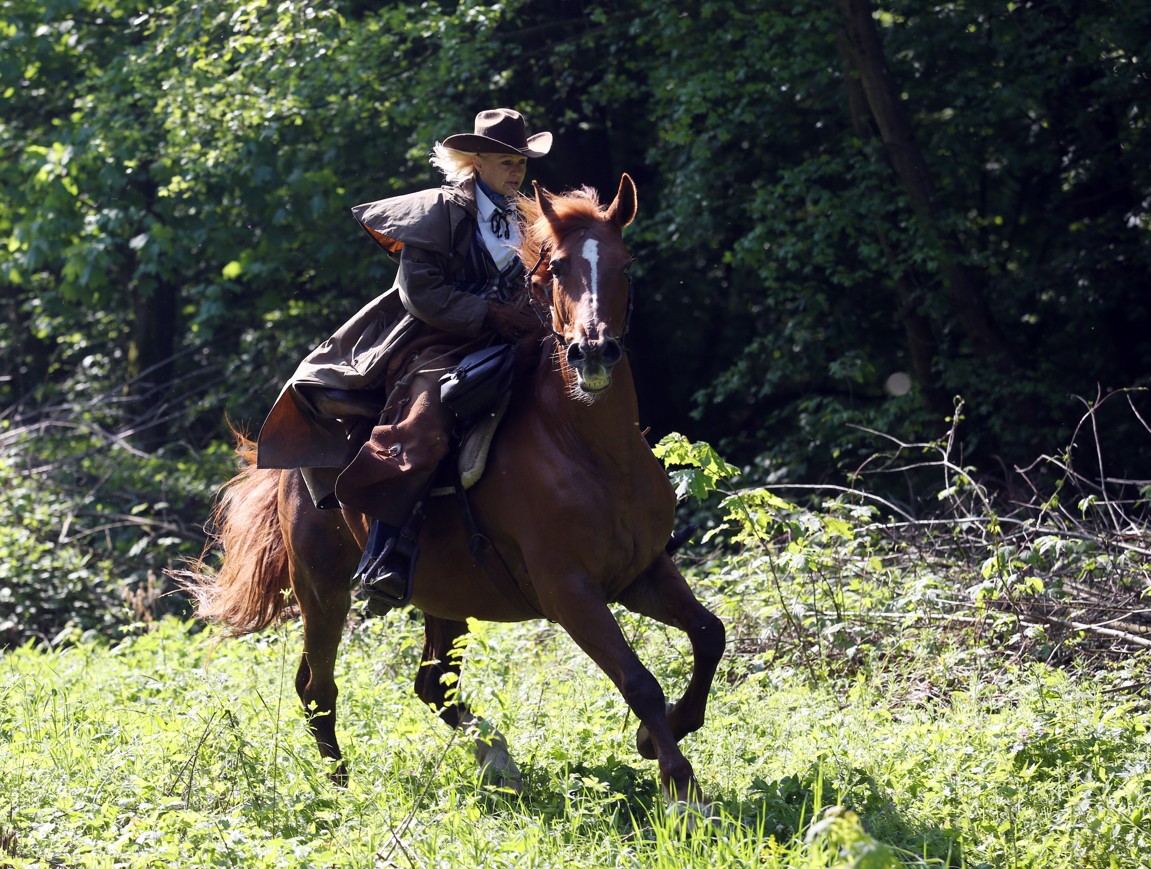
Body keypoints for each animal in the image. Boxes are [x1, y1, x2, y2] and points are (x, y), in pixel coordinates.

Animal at [186, 173, 727, 810]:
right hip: (322, 589)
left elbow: (709, 635)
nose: (593, 353)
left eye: (626, 264)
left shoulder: (641, 573)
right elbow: (639, 681)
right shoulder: (571, 593)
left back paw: (498, 760)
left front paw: (664, 735)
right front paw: (682, 789)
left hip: (442, 596)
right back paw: (344, 790)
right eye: (558, 267)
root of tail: (291, 467)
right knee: (318, 687)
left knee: (430, 684)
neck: (588, 449)